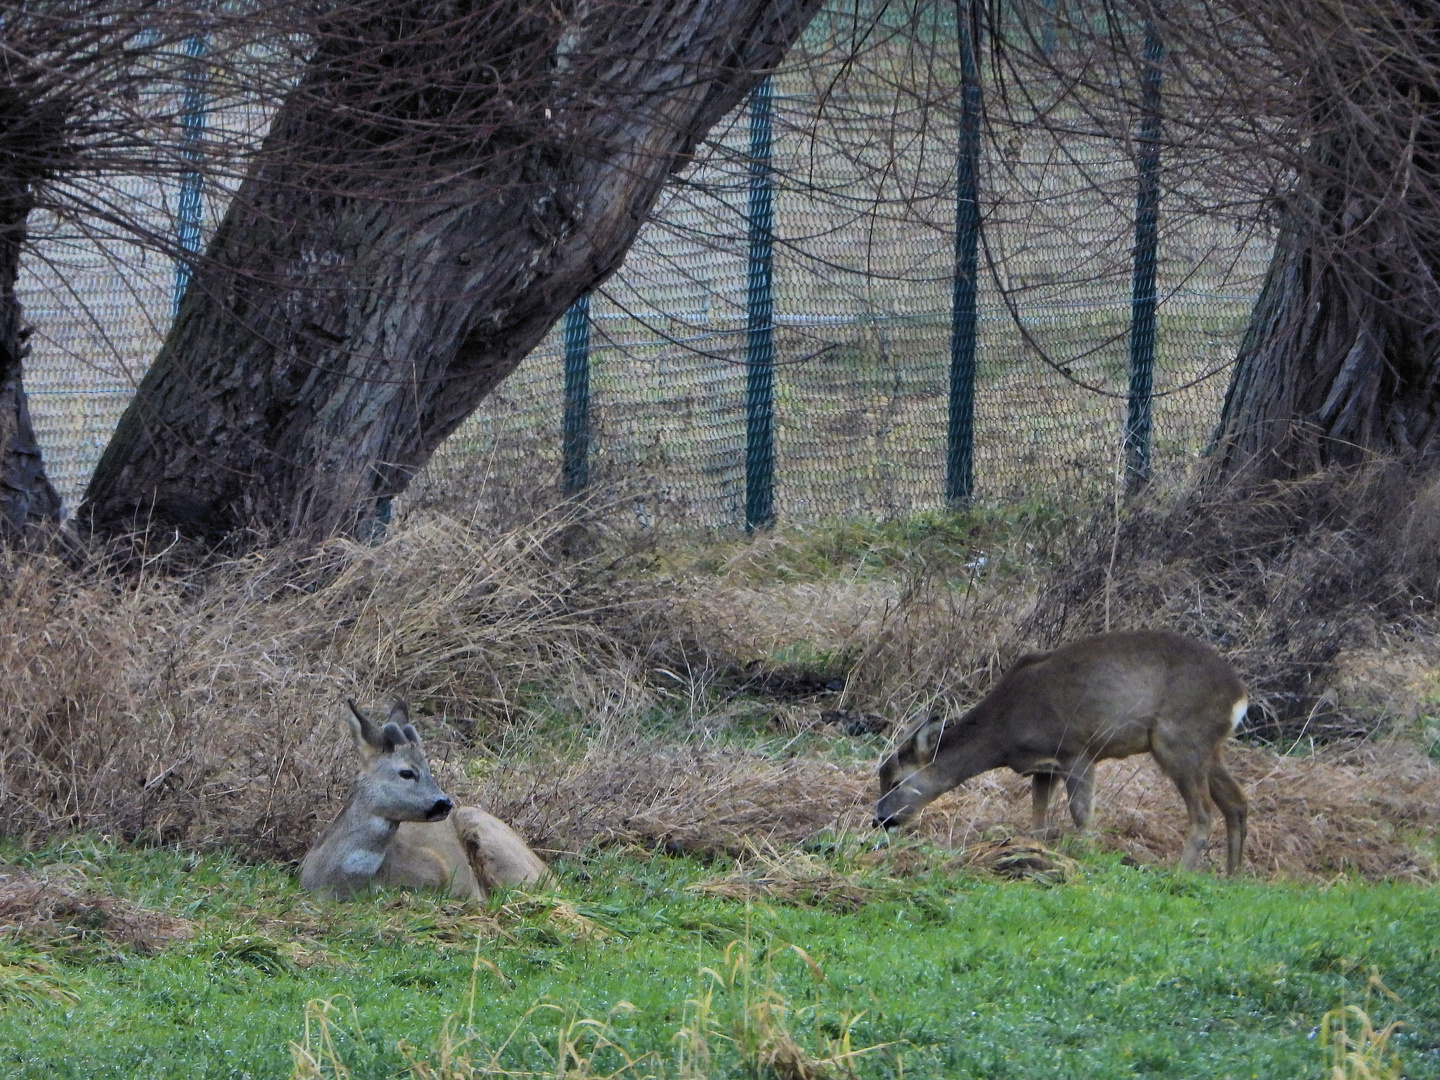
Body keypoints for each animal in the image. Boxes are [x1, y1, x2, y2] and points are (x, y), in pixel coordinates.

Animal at [869, 630, 1255, 875]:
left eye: (896, 781)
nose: (880, 819)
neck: (1004, 730)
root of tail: (1240, 693)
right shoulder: (1043, 766)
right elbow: (1038, 817)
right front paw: (1033, 853)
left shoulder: (1076, 749)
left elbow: (1081, 814)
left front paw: (1085, 858)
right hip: (1208, 748)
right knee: (1236, 802)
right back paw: (1231, 877)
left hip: (1179, 738)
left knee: (1203, 812)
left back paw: (1181, 873)